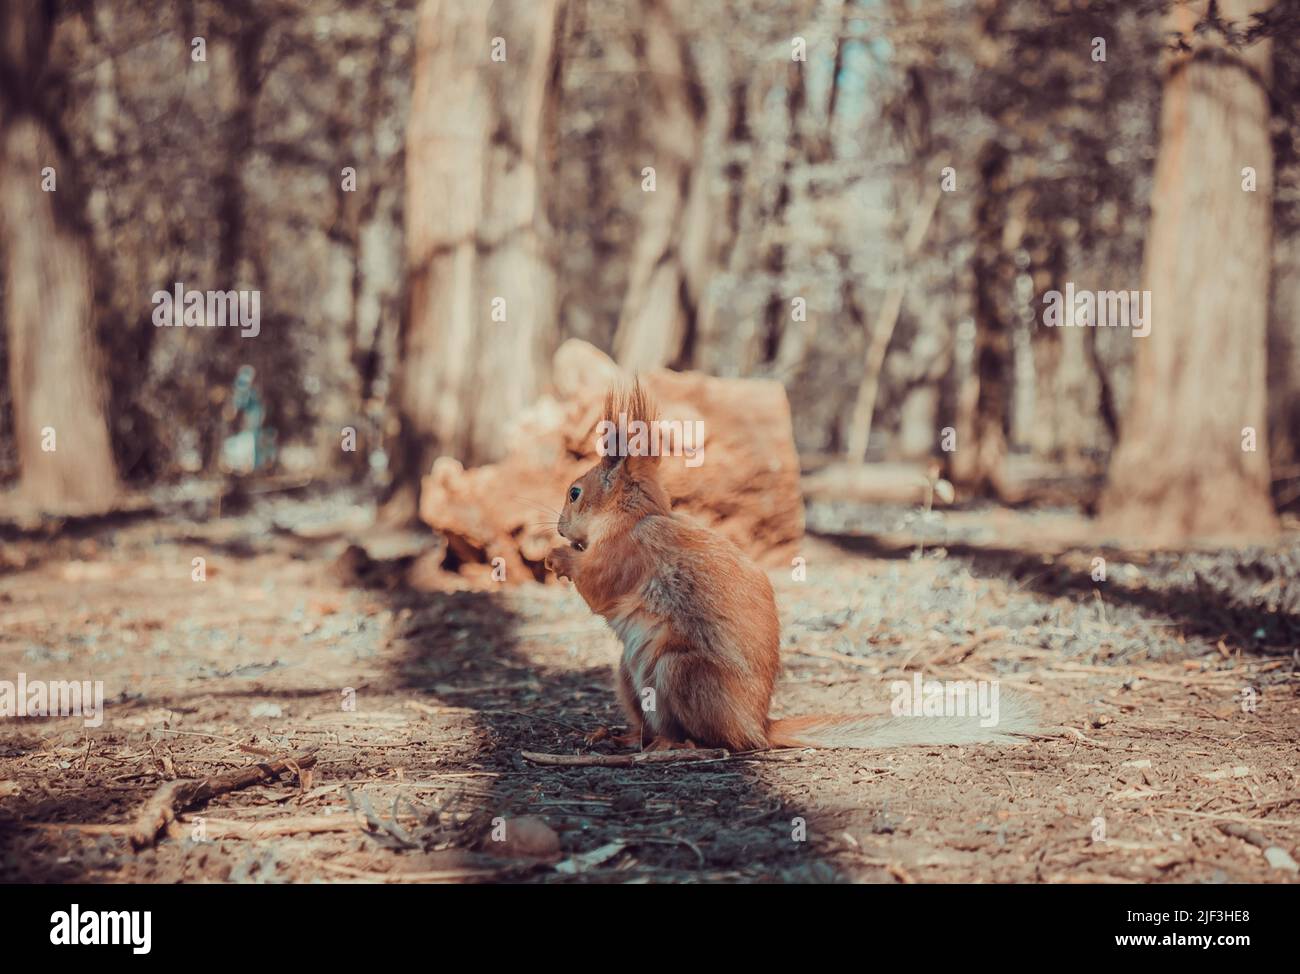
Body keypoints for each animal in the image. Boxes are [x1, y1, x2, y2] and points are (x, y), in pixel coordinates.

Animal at [544, 381, 1036, 752]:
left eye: (574, 492)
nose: (559, 526)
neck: (634, 518)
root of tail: (758, 726)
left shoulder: (626, 555)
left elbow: (598, 585)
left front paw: (559, 558)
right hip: (628, 675)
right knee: (649, 724)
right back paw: (623, 736)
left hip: (678, 672)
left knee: (704, 737)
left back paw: (671, 745)